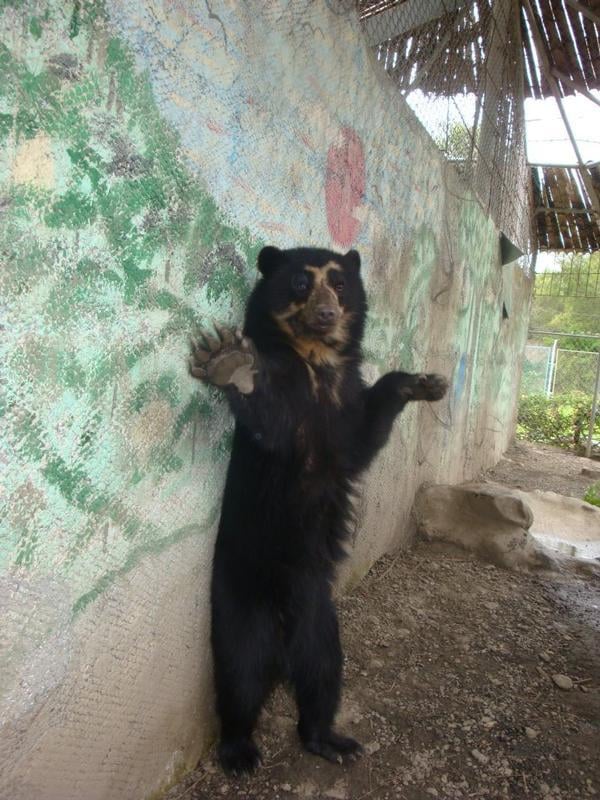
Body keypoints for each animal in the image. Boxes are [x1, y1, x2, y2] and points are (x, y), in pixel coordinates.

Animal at [190, 248, 448, 776]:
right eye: (300, 284)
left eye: (340, 284)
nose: (327, 313)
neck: (316, 362)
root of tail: (283, 636)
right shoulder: (290, 408)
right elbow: (271, 423)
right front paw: (229, 362)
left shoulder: (344, 407)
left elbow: (361, 441)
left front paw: (425, 383)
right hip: (238, 598)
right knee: (240, 672)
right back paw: (240, 751)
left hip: (320, 619)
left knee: (322, 671)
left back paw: (330, 739)